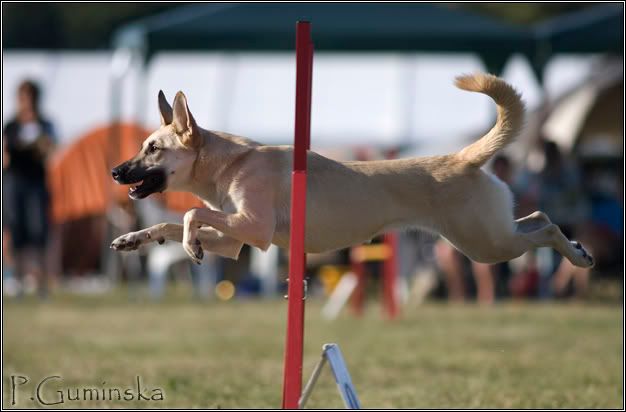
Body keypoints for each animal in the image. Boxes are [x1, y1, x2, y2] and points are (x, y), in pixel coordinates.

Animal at [110, 73, 594, 269]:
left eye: (153, 148)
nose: (115, 172)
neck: (230, 162)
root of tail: (461, 157)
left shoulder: (255, 227)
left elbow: (191, 214)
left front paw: (190, 246)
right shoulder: (234, 241)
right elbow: (171, 223)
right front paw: (134, 239)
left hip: (485, 243)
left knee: (546, 227)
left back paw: (578, 256)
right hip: (489, 234)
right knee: (539, 217)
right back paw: (577, 248)